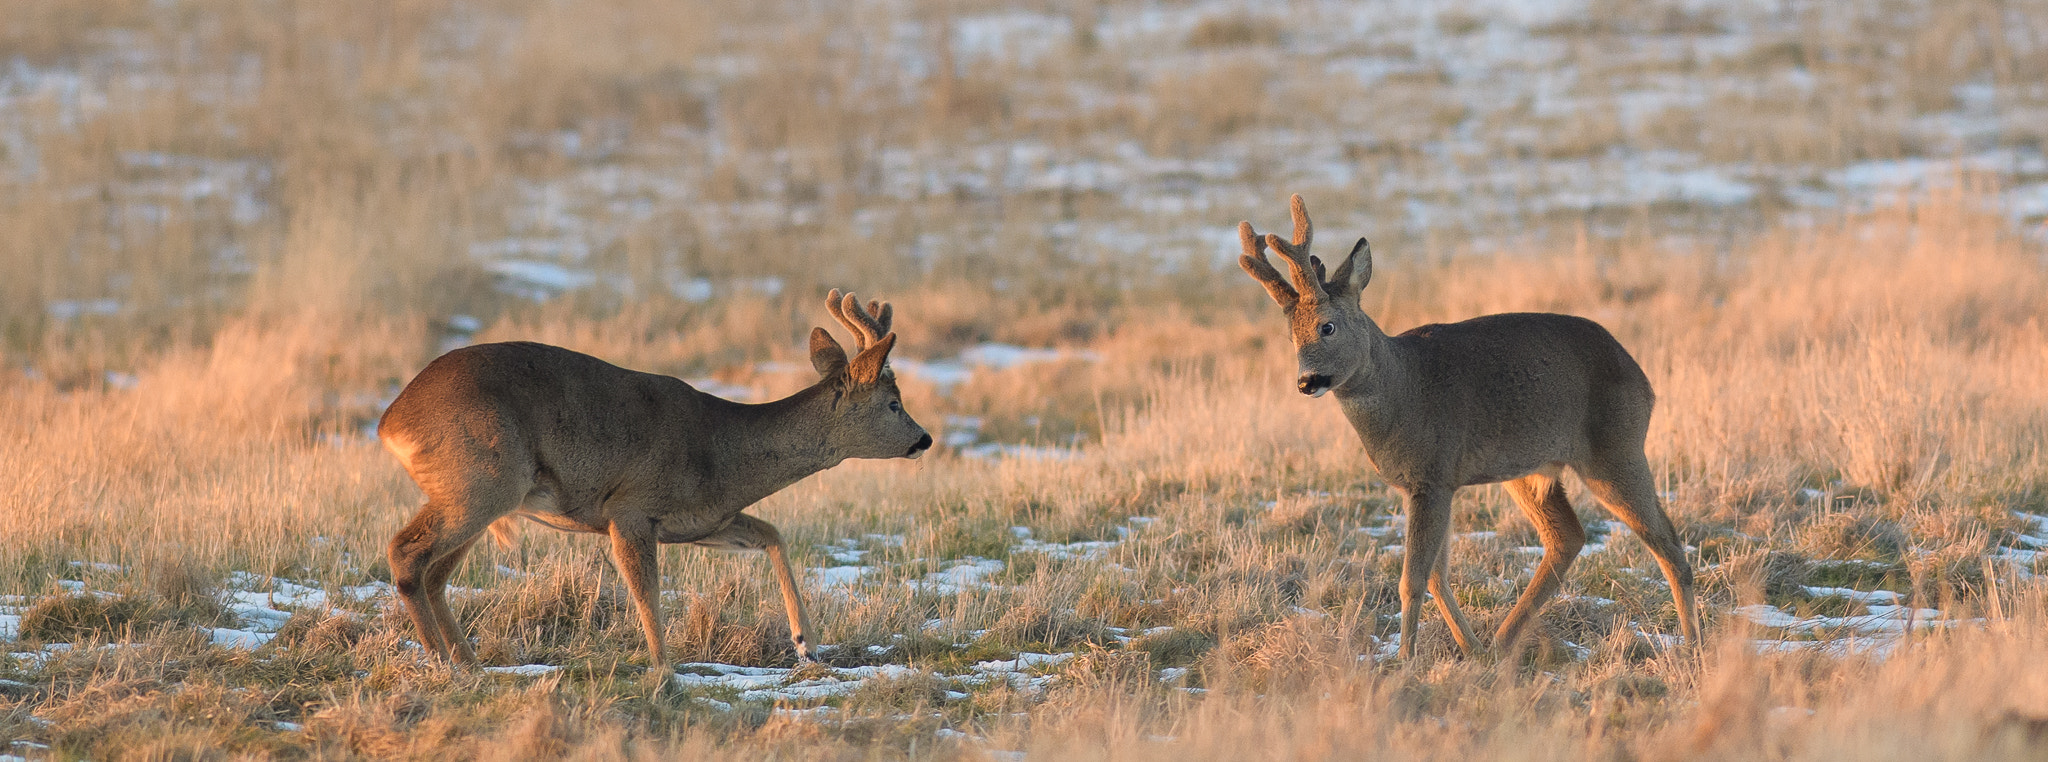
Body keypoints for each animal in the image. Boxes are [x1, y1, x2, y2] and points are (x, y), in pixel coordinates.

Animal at [380, 290, 933, 671]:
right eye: (893, 403)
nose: (924, 439)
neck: (724, 454)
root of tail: (391, 422)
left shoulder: (702, 519)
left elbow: (771, 533)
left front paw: (808, 645)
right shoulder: (630, 506)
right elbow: (646, 591)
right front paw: (664, 670)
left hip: (477, 492)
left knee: (435, 573)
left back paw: (469, 664)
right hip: (483, 479)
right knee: (407, 554)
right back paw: (444, 665)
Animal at [1236, 196, 1703, 659]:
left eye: (1327, 326)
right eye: (1291, 337)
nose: (1306, 381)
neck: (1403, 392)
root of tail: (1641, 377)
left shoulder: (1433, 474)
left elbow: (1412, 580)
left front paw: (1404, 660)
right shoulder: (1431, 483)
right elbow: (1437, 575)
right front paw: (1467, 648)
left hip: (1616, 449)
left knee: (1668, 542)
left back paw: (1692, 646)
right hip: (1528, 469)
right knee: (1568, 537)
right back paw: (1498, 644)